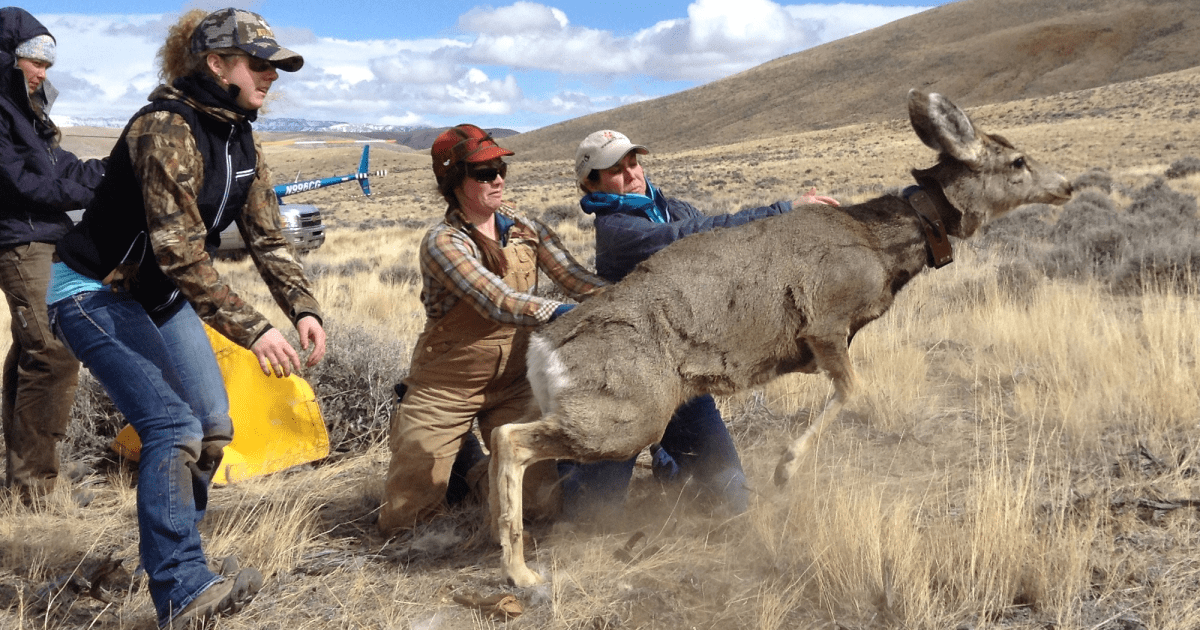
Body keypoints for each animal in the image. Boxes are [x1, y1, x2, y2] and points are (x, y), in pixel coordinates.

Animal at [492, 88, 1075, 585]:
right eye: (1017, 161)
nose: (1067, 186)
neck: (877, 245)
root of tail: (544, 349)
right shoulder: (826, 322)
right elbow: (852, 390)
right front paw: (784, 471)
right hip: (627, 417)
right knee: (509, 439)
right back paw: (521, 572)